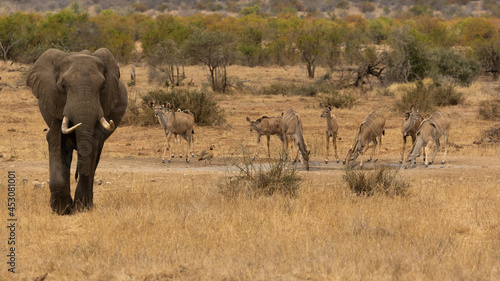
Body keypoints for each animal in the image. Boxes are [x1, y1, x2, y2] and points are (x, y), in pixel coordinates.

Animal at [26, 48, 128, 214]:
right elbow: (55, 139)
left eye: (103, 87)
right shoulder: (55, 103)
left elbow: (92, 145)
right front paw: (61, 209)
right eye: (63, 86)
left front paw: (81, 208)